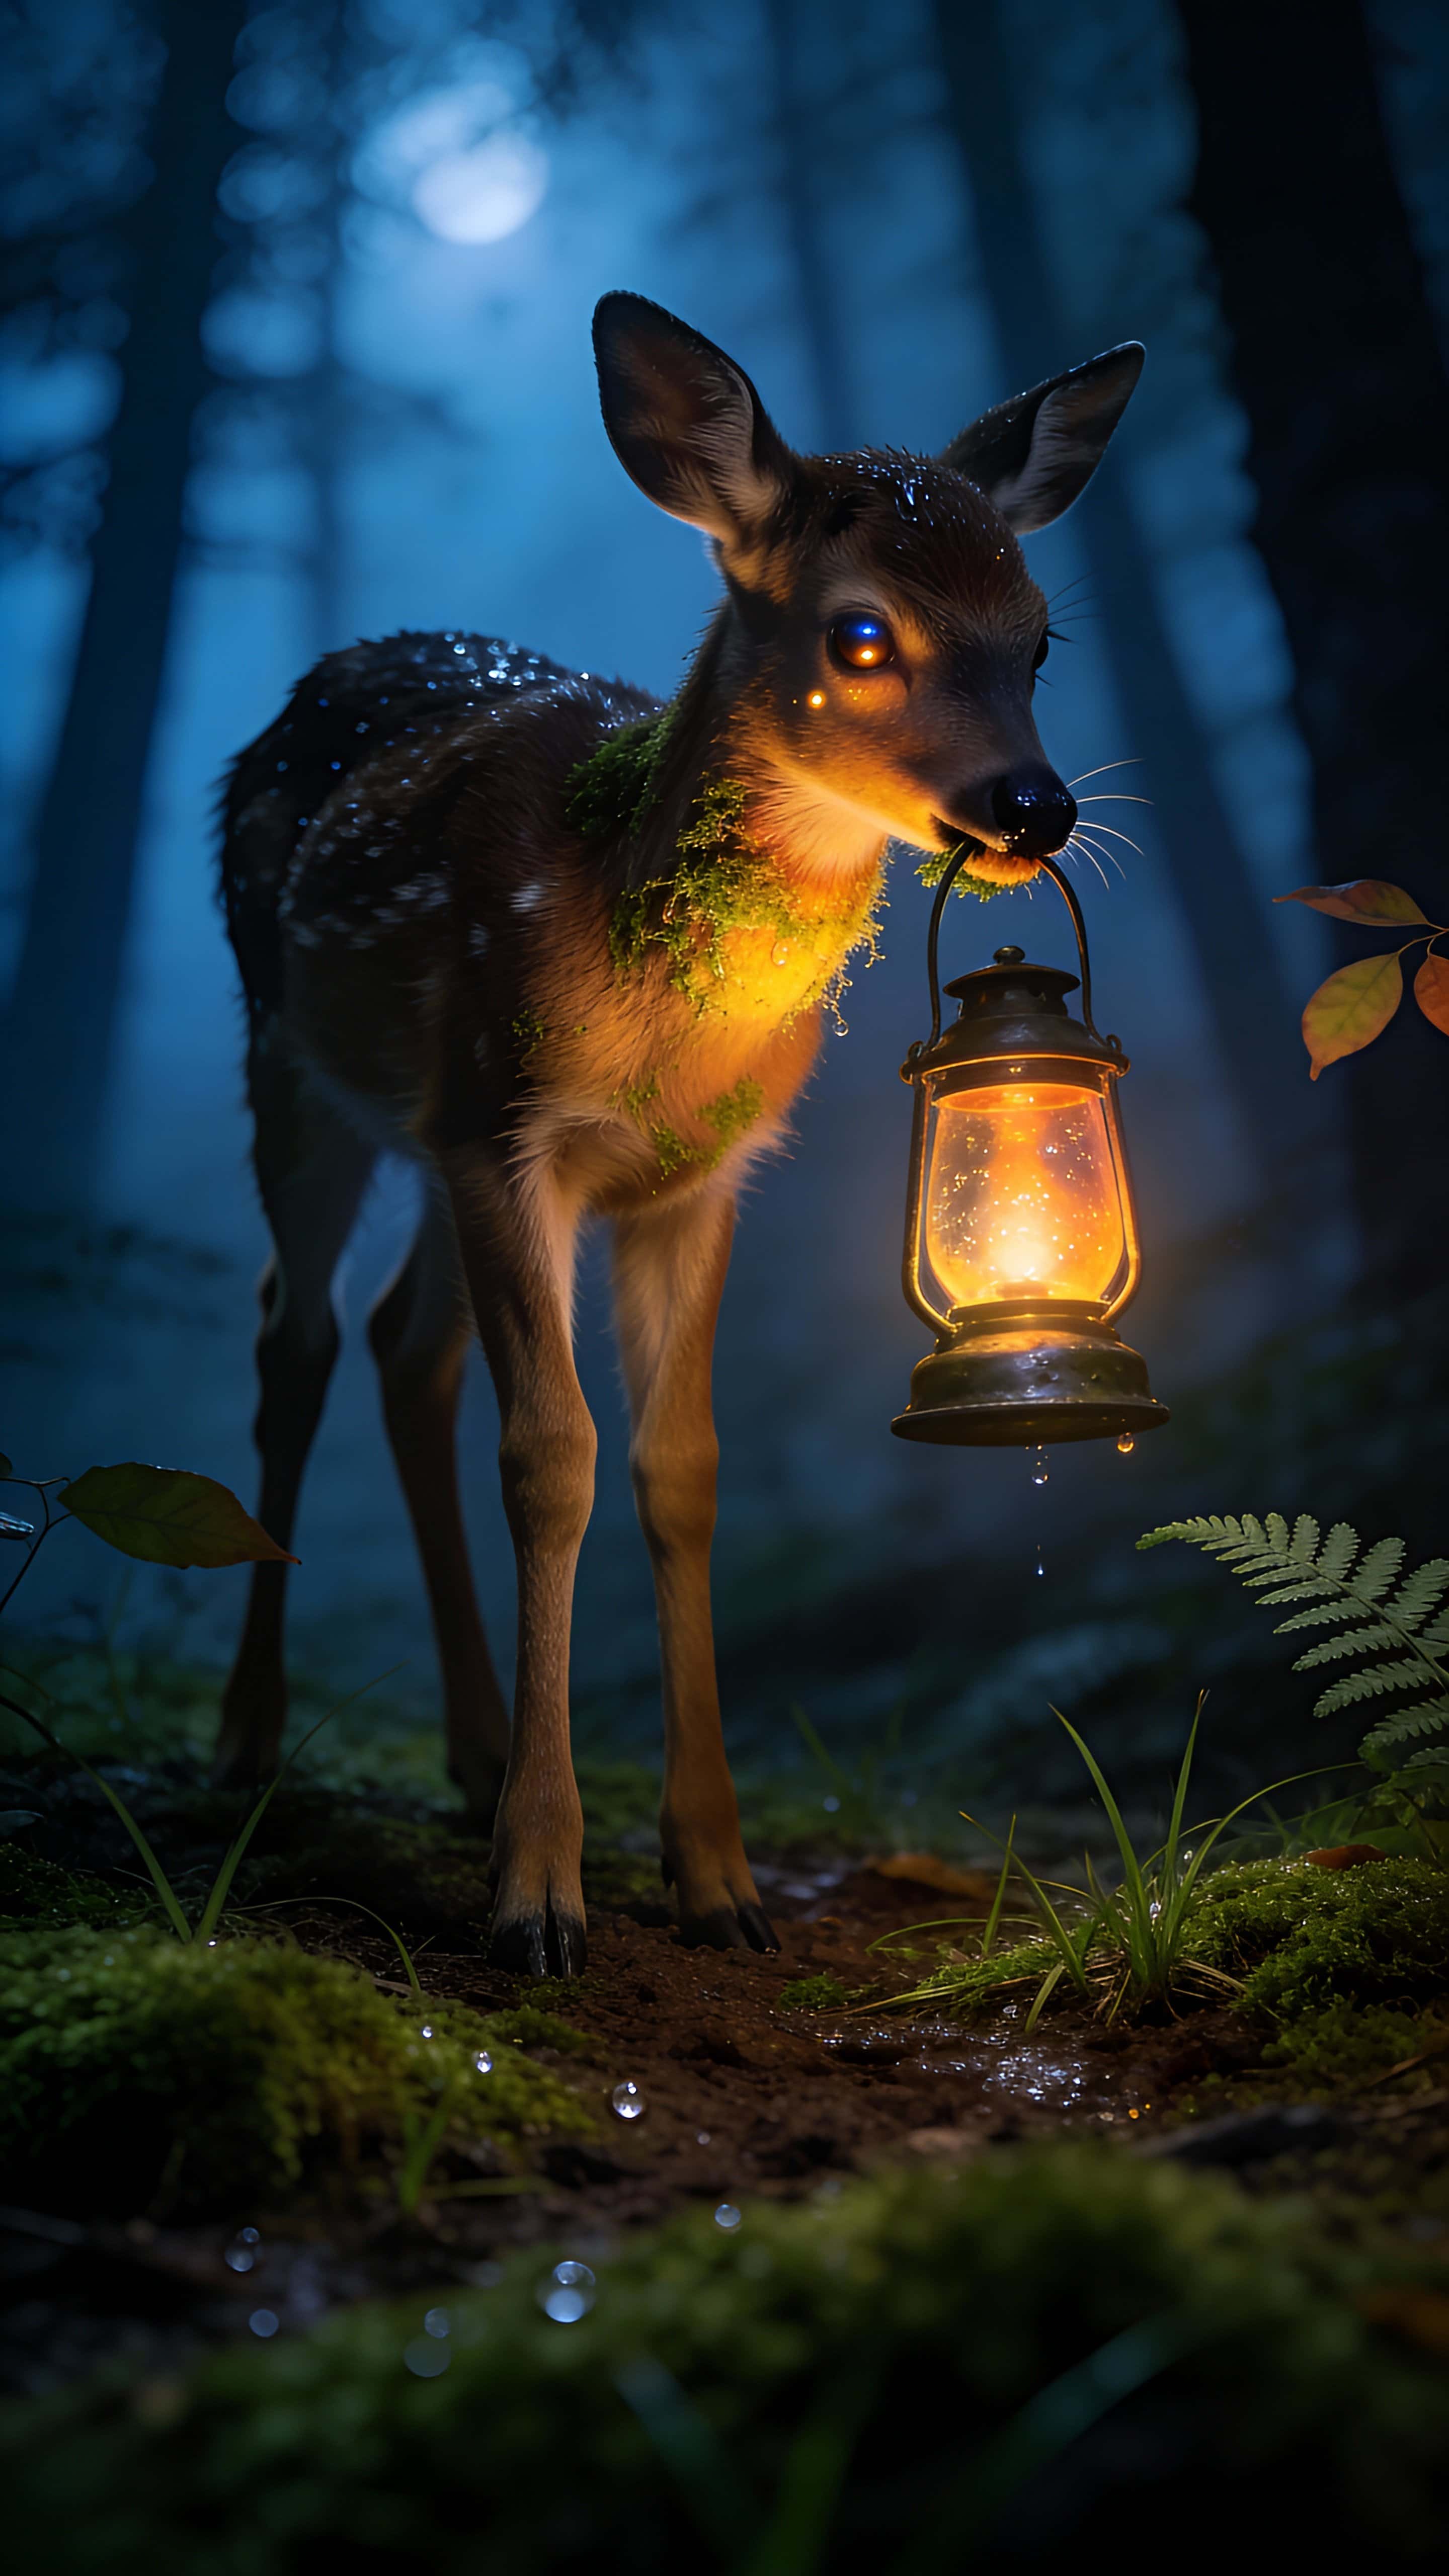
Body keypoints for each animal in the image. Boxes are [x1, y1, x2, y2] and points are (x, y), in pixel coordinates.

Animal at [212, 292, 1143, 1977]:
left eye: (1039, 634)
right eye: (860, 634)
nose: (1035, 807)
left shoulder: (687, 1176)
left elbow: (682, 1467)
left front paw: (715, 1876)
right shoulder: (510, 1131)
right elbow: (552, 1455)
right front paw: (540, 1894)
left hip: (437, 1136)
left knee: (403, 1346)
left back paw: (469, 1748)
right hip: (301, 1069)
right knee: (293, 1334)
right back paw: (251, 1743)